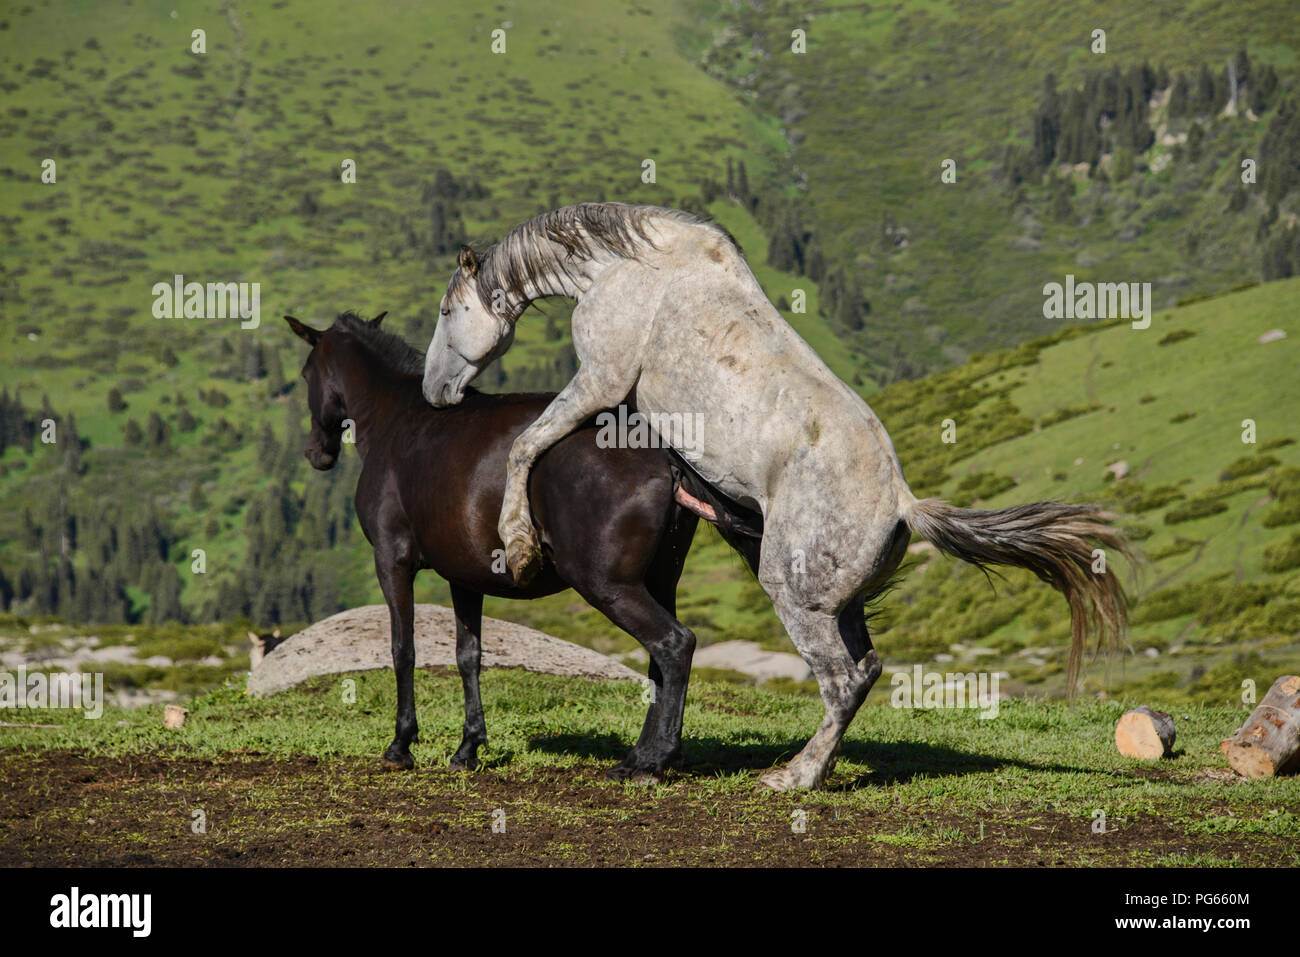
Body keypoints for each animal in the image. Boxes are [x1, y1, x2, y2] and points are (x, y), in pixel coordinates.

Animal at [282, 312, 754, 780]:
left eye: (305, 373)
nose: (315, 453)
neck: (396, 417)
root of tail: (662, 454)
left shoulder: (391, 561)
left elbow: (404, 649)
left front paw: (401, 743)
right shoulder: (463, 576)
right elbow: (468, 655)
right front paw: (468, 746)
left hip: (608, 585)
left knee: (674, 644)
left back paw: (652, 759)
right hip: (659, 580)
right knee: (661, 656)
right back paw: (648, 754)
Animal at [428, 204, 1128, 790]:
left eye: (445, 312)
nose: (437, 392)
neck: (628, 270)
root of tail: (902, 504)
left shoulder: (600, 383)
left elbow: (526, 444)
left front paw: (518, 547)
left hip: (794, 594)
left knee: (842, 682)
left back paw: (795, 777)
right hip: (837, 601)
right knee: (866, 670)